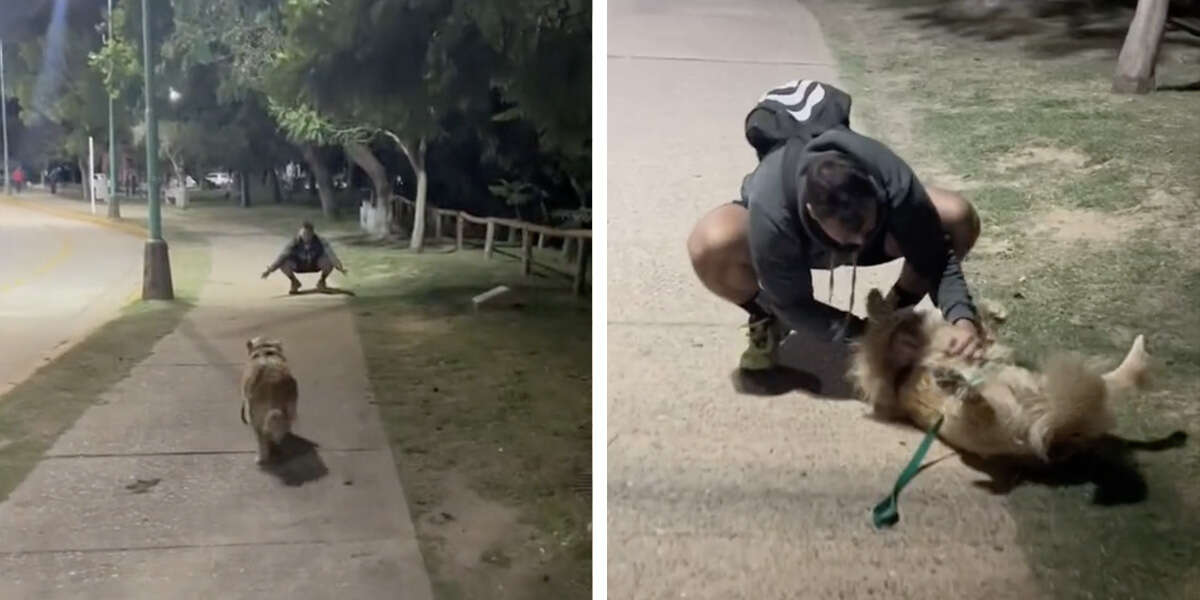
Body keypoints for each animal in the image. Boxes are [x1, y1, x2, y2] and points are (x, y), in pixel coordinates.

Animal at [849, 288, 1147, 460]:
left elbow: (983, 329)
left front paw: (995, 312)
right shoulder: (885, 367)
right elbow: (881, 327)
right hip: (972, 421)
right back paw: (960, 385)